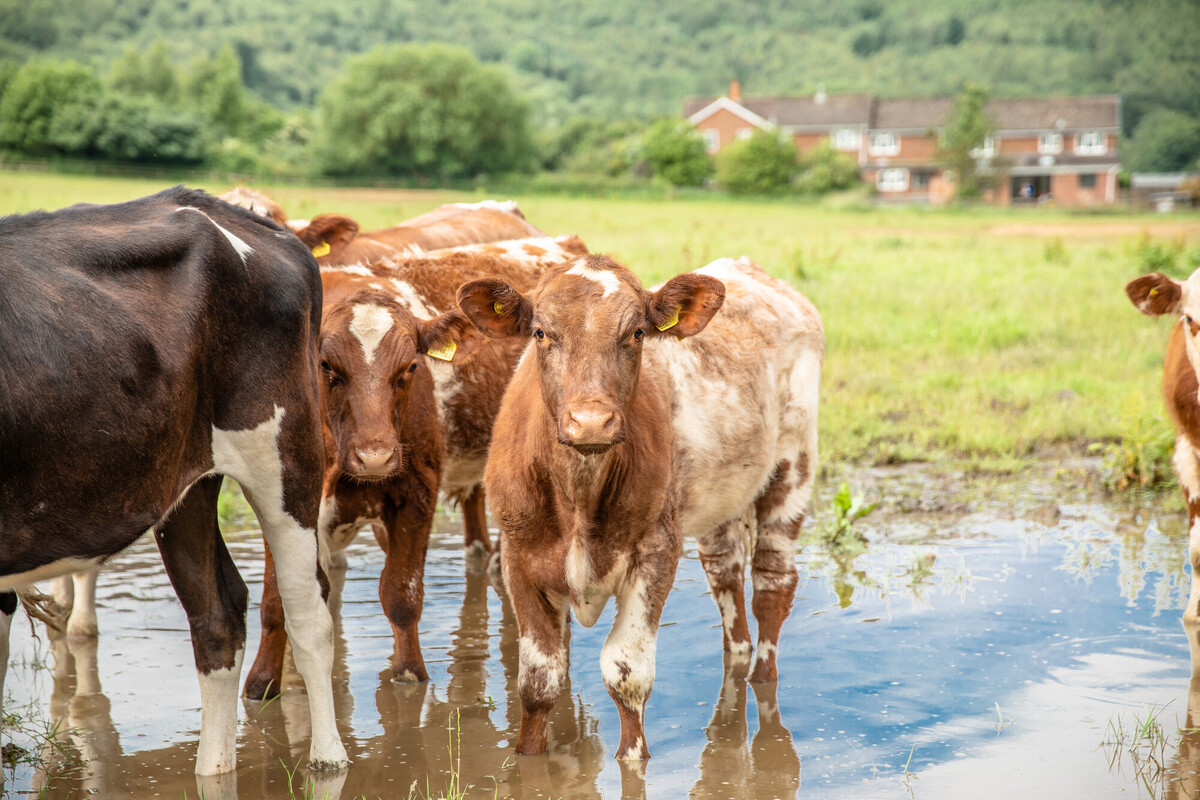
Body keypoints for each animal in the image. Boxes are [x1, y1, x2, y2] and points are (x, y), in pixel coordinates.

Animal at [0, 185, 348, 777]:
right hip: (183, 485)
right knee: (217, 617)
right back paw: (213, 770)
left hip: (287, 457)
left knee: (309, 615)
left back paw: (329, 763)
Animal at [240, 235, 590, 695]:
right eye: (326, 366)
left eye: (410, 367)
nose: (375, 455)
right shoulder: (280, 499)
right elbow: (276, 600)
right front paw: (262, 682)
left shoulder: (416, 493)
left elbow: (401, 597)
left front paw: (408, 674)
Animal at [453, 253, 820, 762]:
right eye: (540, 332)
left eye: (638, 333)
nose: (590, 421)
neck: (579, 495)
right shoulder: (517, 555)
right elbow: (538, 682)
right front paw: (527, 759)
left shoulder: (656, 551)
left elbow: (626, 673)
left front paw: (633, 759)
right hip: (722, 498)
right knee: (725, 572)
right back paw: (738, 660)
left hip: (793, 467)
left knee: (772, 583)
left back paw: (762, 679)